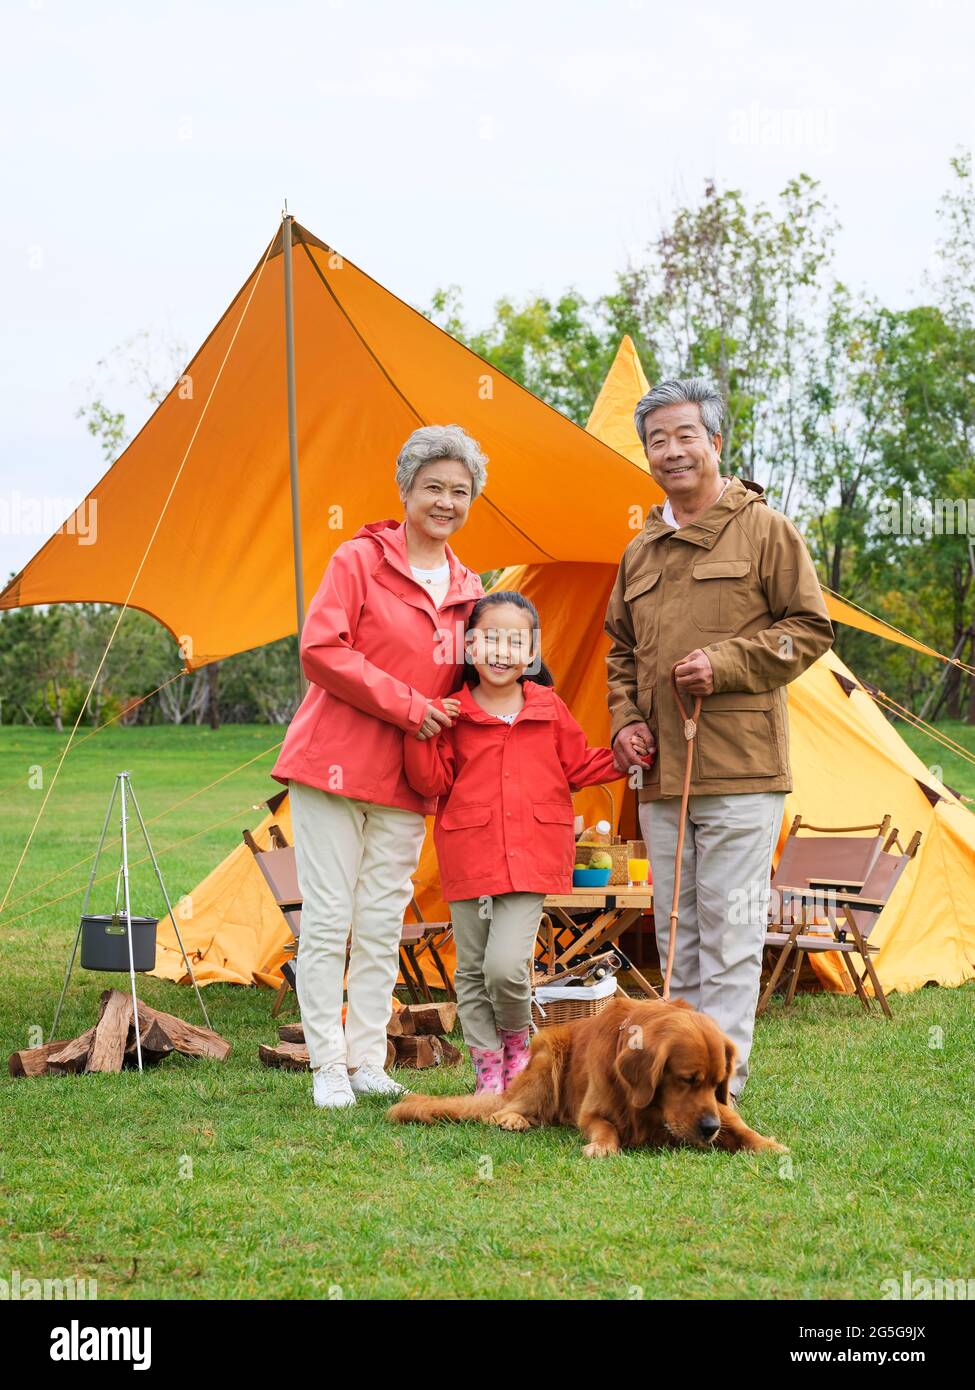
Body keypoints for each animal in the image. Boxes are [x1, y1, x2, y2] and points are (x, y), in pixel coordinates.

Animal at [383, 995, 790, 1156]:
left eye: (717, 1084)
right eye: (686, 1079)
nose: (708, 1129)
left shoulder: (719, 1111)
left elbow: (740, 1126)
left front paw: (769, 1145)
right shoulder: (592, 1112)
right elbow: (604, 1126)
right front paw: (603, 1146)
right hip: (547, 1057)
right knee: (505, 1108)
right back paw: (513, 1118)